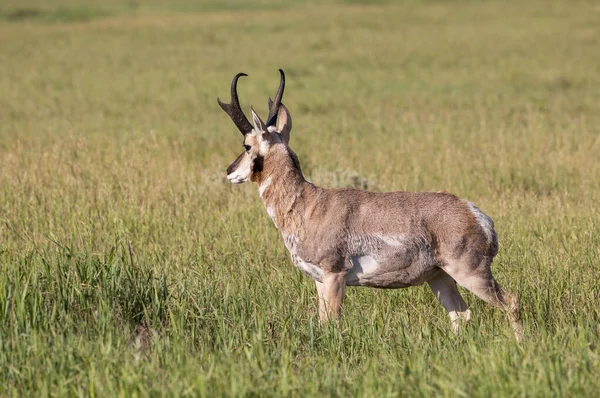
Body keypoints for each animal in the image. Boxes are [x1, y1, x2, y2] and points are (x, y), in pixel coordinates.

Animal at [218, 70, 524, 338]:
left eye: (246, 145)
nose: (229, 171)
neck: (309, 204)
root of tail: (476, 214)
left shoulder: (334, 276)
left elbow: (331, 323)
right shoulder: (319, 281)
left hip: (470, 273)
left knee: (511, 301)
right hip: (440, 278)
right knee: (461, 313)